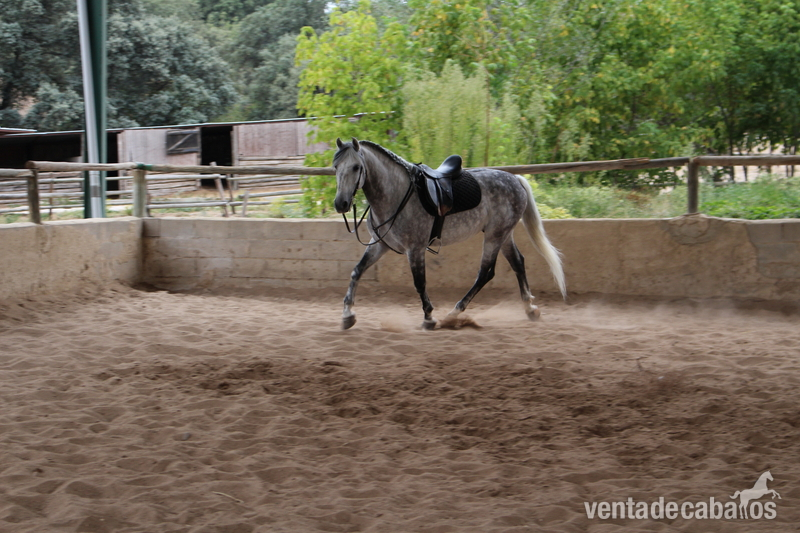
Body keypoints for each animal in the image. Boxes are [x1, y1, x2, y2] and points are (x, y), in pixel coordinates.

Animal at [332, 137, 566, 330]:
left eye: (356, 167)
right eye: (335, 167)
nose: (340, 203)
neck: (396, 194)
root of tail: (515, 179)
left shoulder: (415, 249)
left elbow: (420, 283)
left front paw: (429, 318)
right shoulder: (380, 244)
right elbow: (357, 271)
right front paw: (347, 315)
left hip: (494, 236)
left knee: (485, 273)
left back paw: (453, 314)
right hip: (503, 234)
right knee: (517, 263)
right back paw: (530, 309)